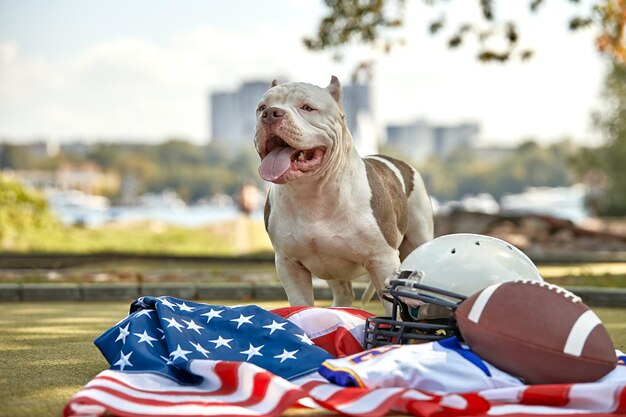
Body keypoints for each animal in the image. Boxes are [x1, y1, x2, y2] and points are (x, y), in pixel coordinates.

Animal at [251, 75, 432, 308]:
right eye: (261, 108)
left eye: (307, 107)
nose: (271, 113)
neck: (312, 193)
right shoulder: (289, 265)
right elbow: (302, 304)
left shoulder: (383, 261)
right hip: (331, 269)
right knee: (344, 293)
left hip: (419, 236)